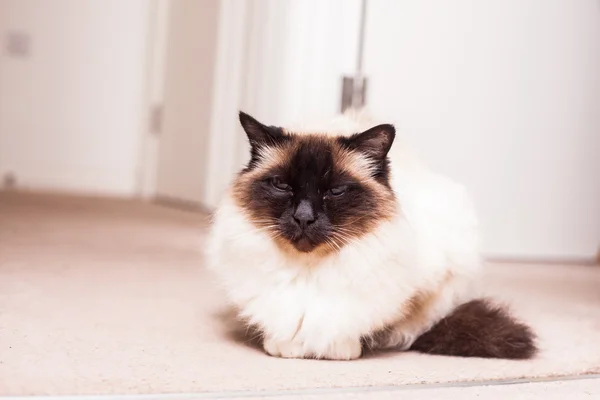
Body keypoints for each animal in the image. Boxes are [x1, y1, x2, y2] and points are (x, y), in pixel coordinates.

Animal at [205, 110, 536, 362]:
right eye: (282, 186)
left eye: (335, 191)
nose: (303, 217)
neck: (309, 271)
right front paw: (284, 346)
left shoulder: (430, 282)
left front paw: (342, 349)